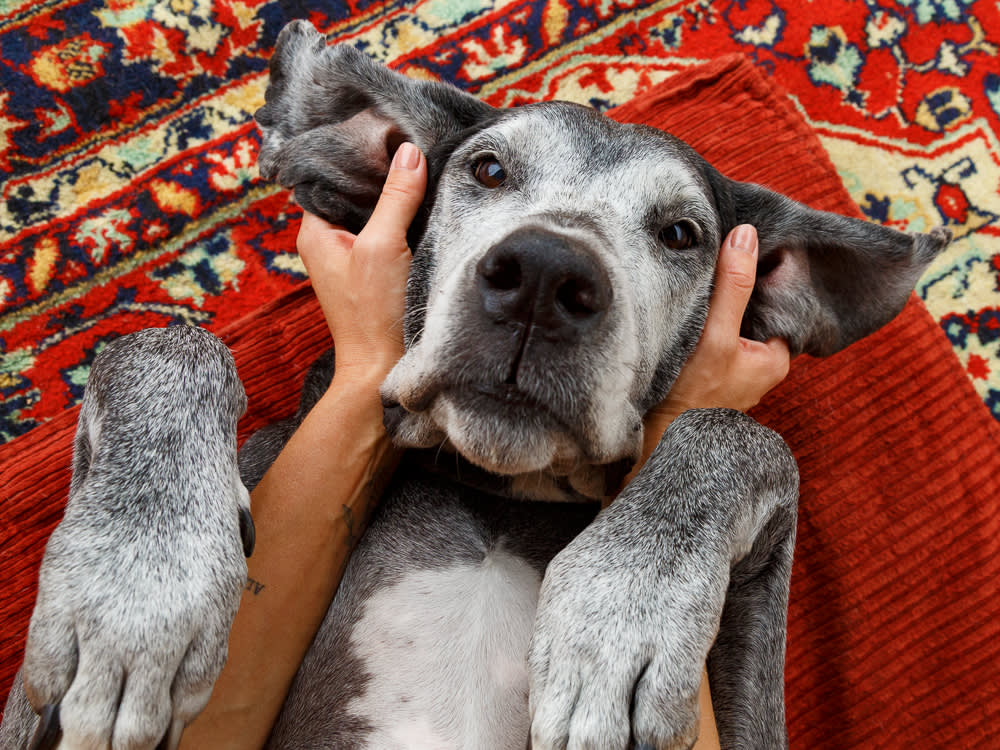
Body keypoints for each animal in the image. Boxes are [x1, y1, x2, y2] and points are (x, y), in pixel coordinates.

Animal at [1, 19, 952, 750]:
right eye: (488, 169)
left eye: (682, 233)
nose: (543, 276)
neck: (498, 495)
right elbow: (166, 343)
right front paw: (137, 585)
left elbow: (742, 435)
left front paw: (621, 611)